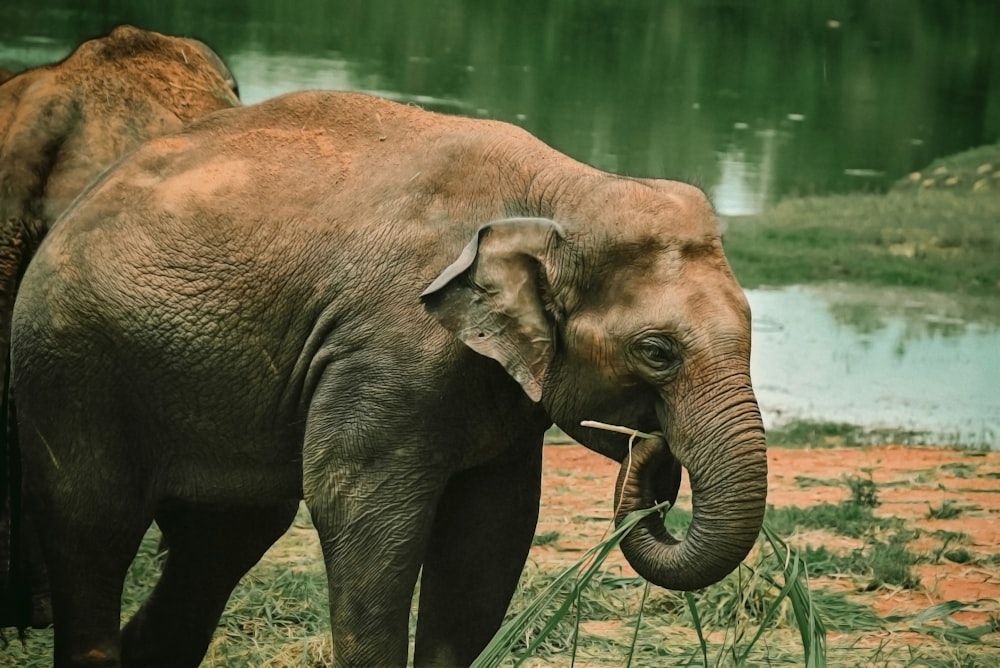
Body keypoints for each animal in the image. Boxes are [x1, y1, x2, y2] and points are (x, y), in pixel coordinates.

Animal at [9, 90, 764, 668]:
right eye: (657, 352)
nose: (655, 451)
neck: (564, 190)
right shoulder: (388, 350)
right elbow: (360, 510)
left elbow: (491, 532)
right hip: (72, 368)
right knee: (95, 529)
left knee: (223, 538)